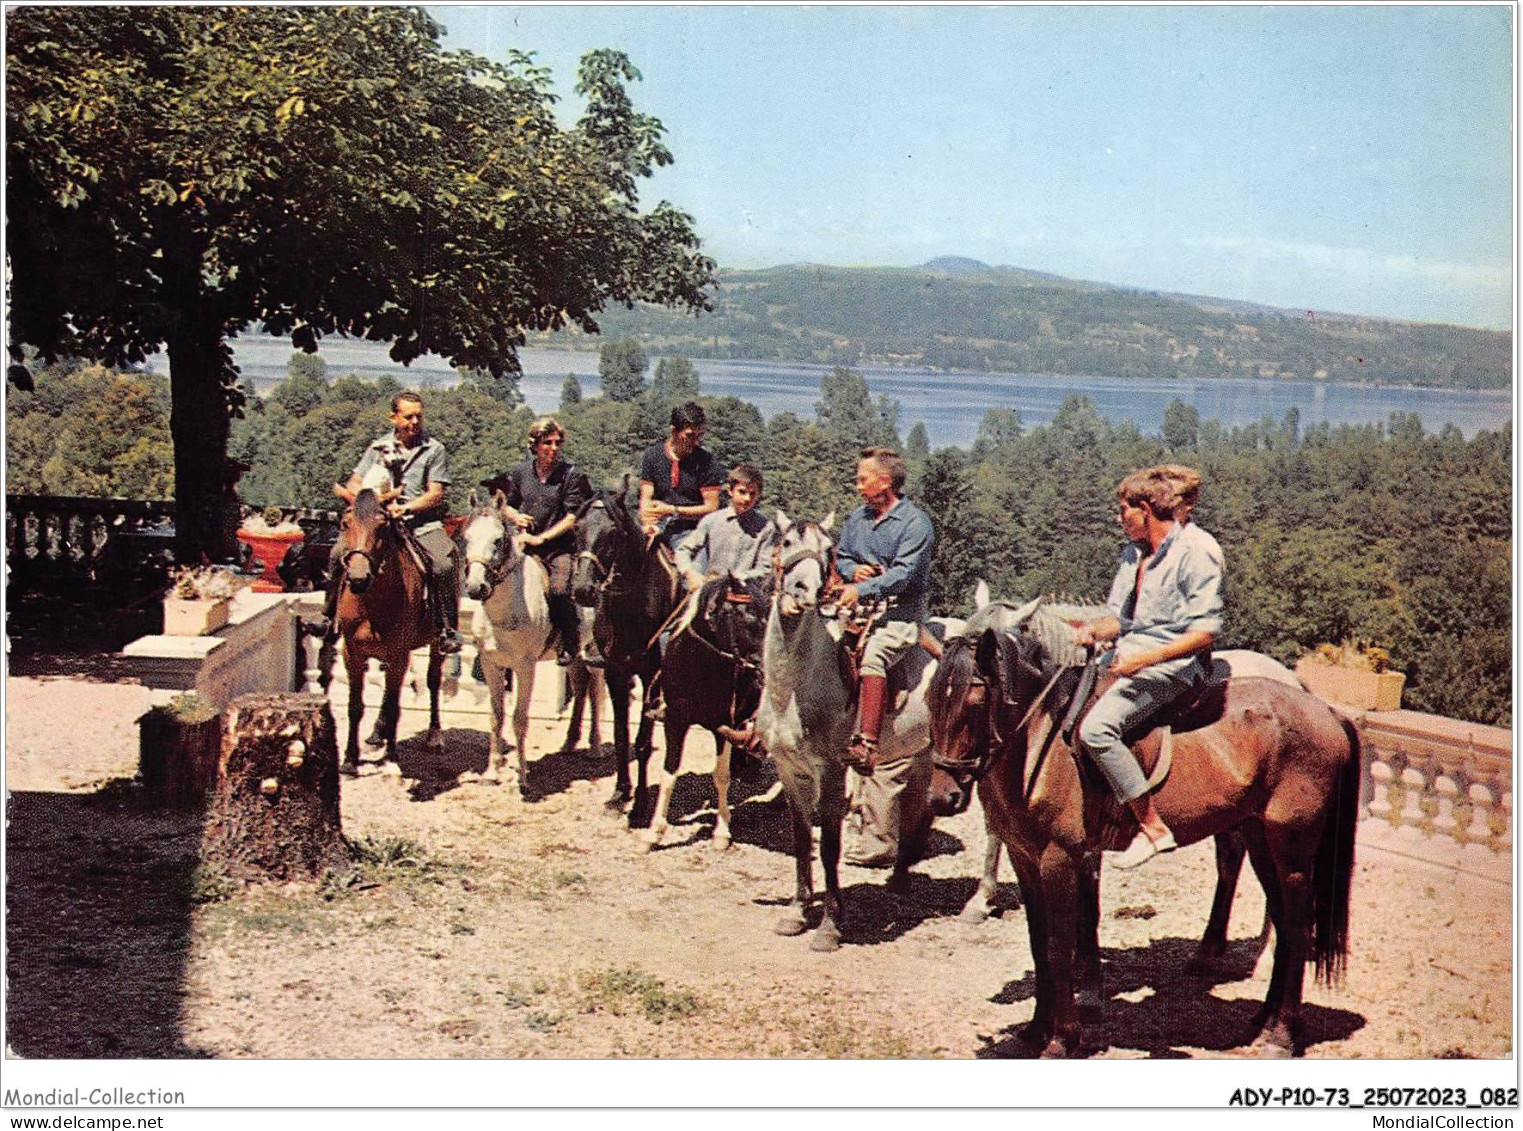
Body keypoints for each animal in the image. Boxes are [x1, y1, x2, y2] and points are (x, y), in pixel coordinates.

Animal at [335, 487, 444, 779]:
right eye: (345, 523)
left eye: (383, 526)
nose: (358, 578)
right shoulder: (351, 653)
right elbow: (355, 706)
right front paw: (350, 759)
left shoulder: (399, 653)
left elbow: (396, 706)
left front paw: (391, 755)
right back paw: (376, 734)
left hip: (435, 645)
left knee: (432, 681)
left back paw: (434, 735)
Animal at [459, 490, 603, 797]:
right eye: (467, 537)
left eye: (498, 540)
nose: (476, 588)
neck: (506, 609)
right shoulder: (491, 664)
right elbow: (496, 716)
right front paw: (492, 772)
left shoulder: (525, 668)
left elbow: (519, 719)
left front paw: (522, 778)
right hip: (571, 655)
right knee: (580, 684)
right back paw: (569, 743)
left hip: (595, 650)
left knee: (595, 690)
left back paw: (595, 748)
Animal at [925, 602, 1358, 1059]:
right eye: (930, 699)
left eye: (974, 702)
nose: (942, 798)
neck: (1041, 742)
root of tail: (1327, 711)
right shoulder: (1024, 857)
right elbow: (1038, 943)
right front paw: (1035, 1030)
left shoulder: (1061, 857)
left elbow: (1060, 947)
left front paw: (1062, 1038)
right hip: (1261, 838)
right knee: (1280, 917)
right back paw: (1263, 1019)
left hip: (1292, 845)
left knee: (1297, 924)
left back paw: (1283, 1033)